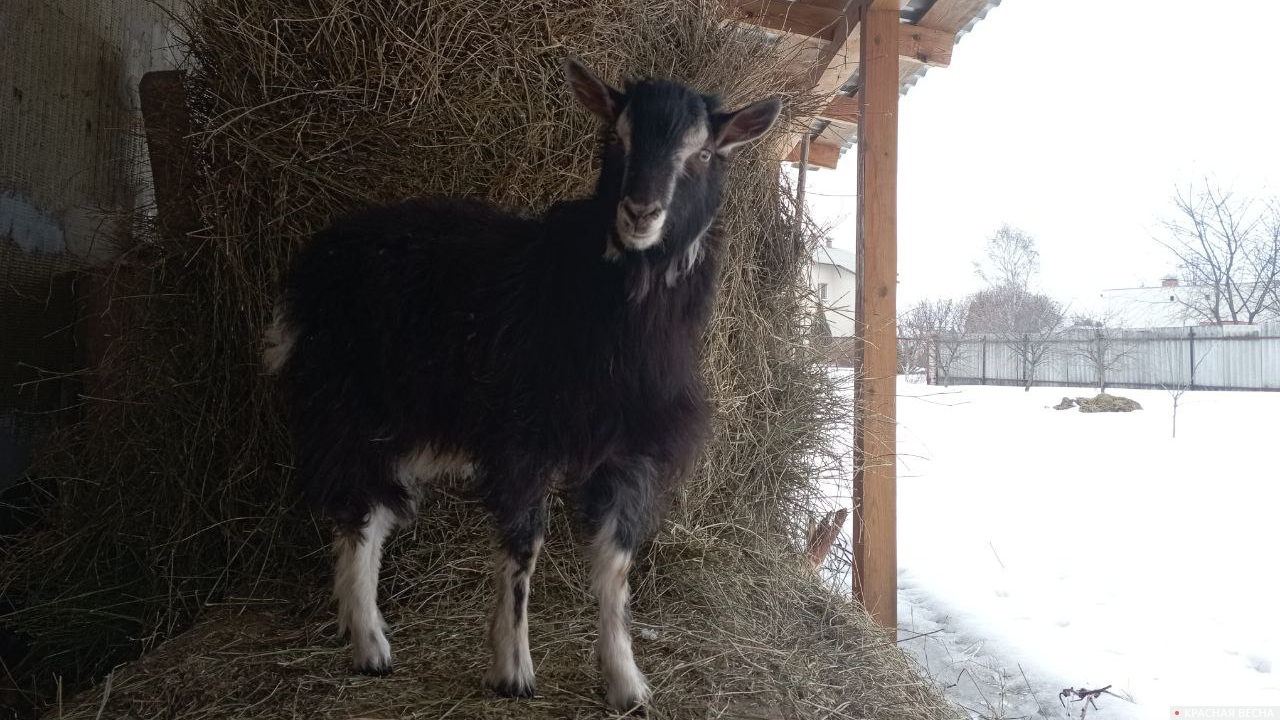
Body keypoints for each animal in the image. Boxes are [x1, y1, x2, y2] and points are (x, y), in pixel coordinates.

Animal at [263, 58, 778, 707]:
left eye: (704, 153)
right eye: (617, 138)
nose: (639, 213)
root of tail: (312, 266)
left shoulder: (630, 453)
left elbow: (616, 564)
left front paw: (625, 680)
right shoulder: (522, 439)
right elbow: (524, 547)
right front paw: (512, 669)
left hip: (407, 423)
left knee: (375, 512)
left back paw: (363, 627)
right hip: (351, 406)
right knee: (358, 511)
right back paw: (368, 647)